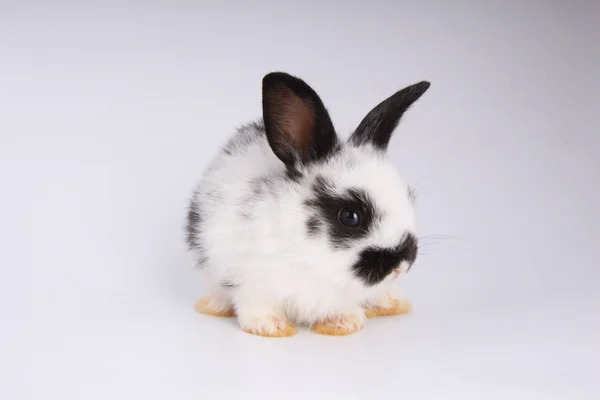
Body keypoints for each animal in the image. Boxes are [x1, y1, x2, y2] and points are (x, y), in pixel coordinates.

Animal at [185, 72, 428, 338]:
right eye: (350, 216)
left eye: (409, 198)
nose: (401, 265)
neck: (312, 258)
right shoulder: (250, 280)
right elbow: (257, 306)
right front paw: (273, 327)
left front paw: (342, 324)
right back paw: (212, 306)